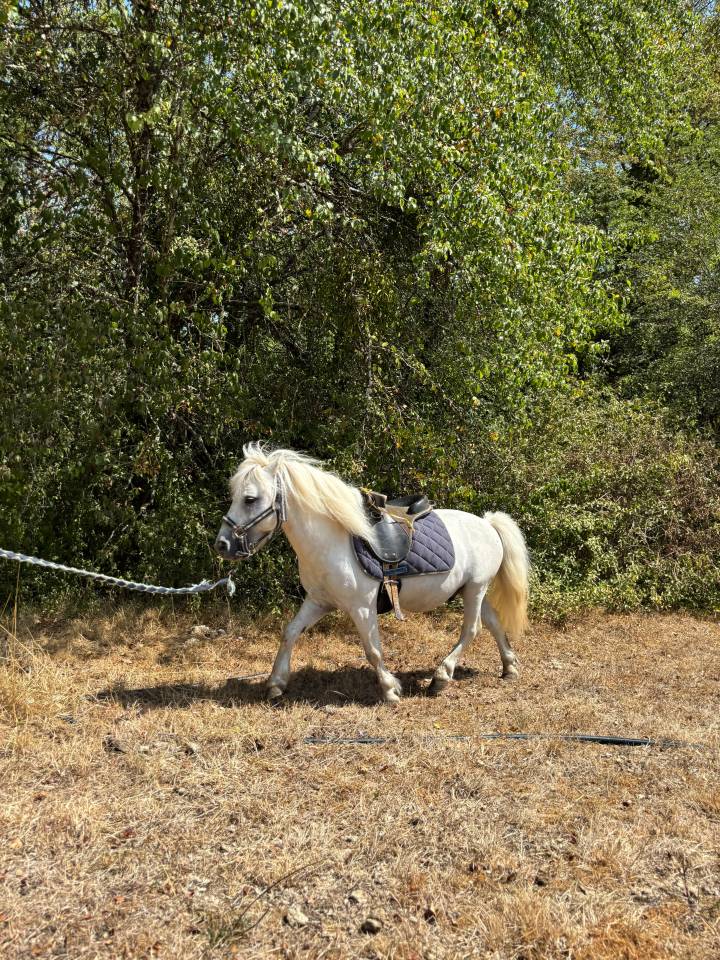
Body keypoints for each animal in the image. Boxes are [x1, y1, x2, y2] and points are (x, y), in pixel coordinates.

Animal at [215, 444, 529, 704]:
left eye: (250, 499)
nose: (222, 544)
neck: (333, 540)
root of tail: (488, 523)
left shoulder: (362, 607)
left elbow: (372, 649)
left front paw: (390, 690)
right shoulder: (319, 601)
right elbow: (290, 633)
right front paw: (276, 683)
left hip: (475, 588)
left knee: (472, 630)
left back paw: (441, 677)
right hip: (473, 590)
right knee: (494, 623)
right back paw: (509, 667)